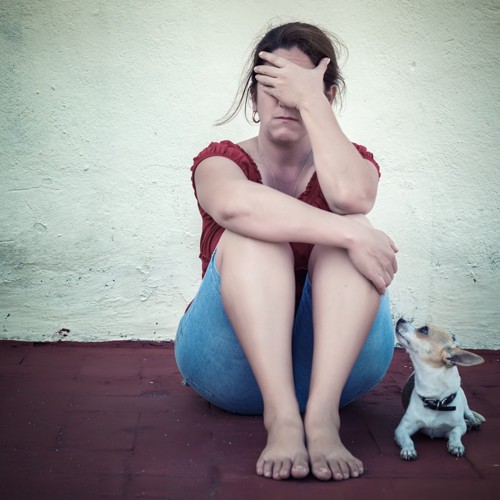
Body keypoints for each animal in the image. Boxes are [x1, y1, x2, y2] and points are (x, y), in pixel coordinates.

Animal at [394, 318, 484, 458]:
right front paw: (408, 449)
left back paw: (472, 421)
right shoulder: (402, 429)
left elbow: (455, 433)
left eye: (424, 330)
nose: (400, 319)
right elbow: (407, 439)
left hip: (463, 398)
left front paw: (456, 445)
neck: (436, 400)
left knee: (468, 412)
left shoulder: (458, 427)